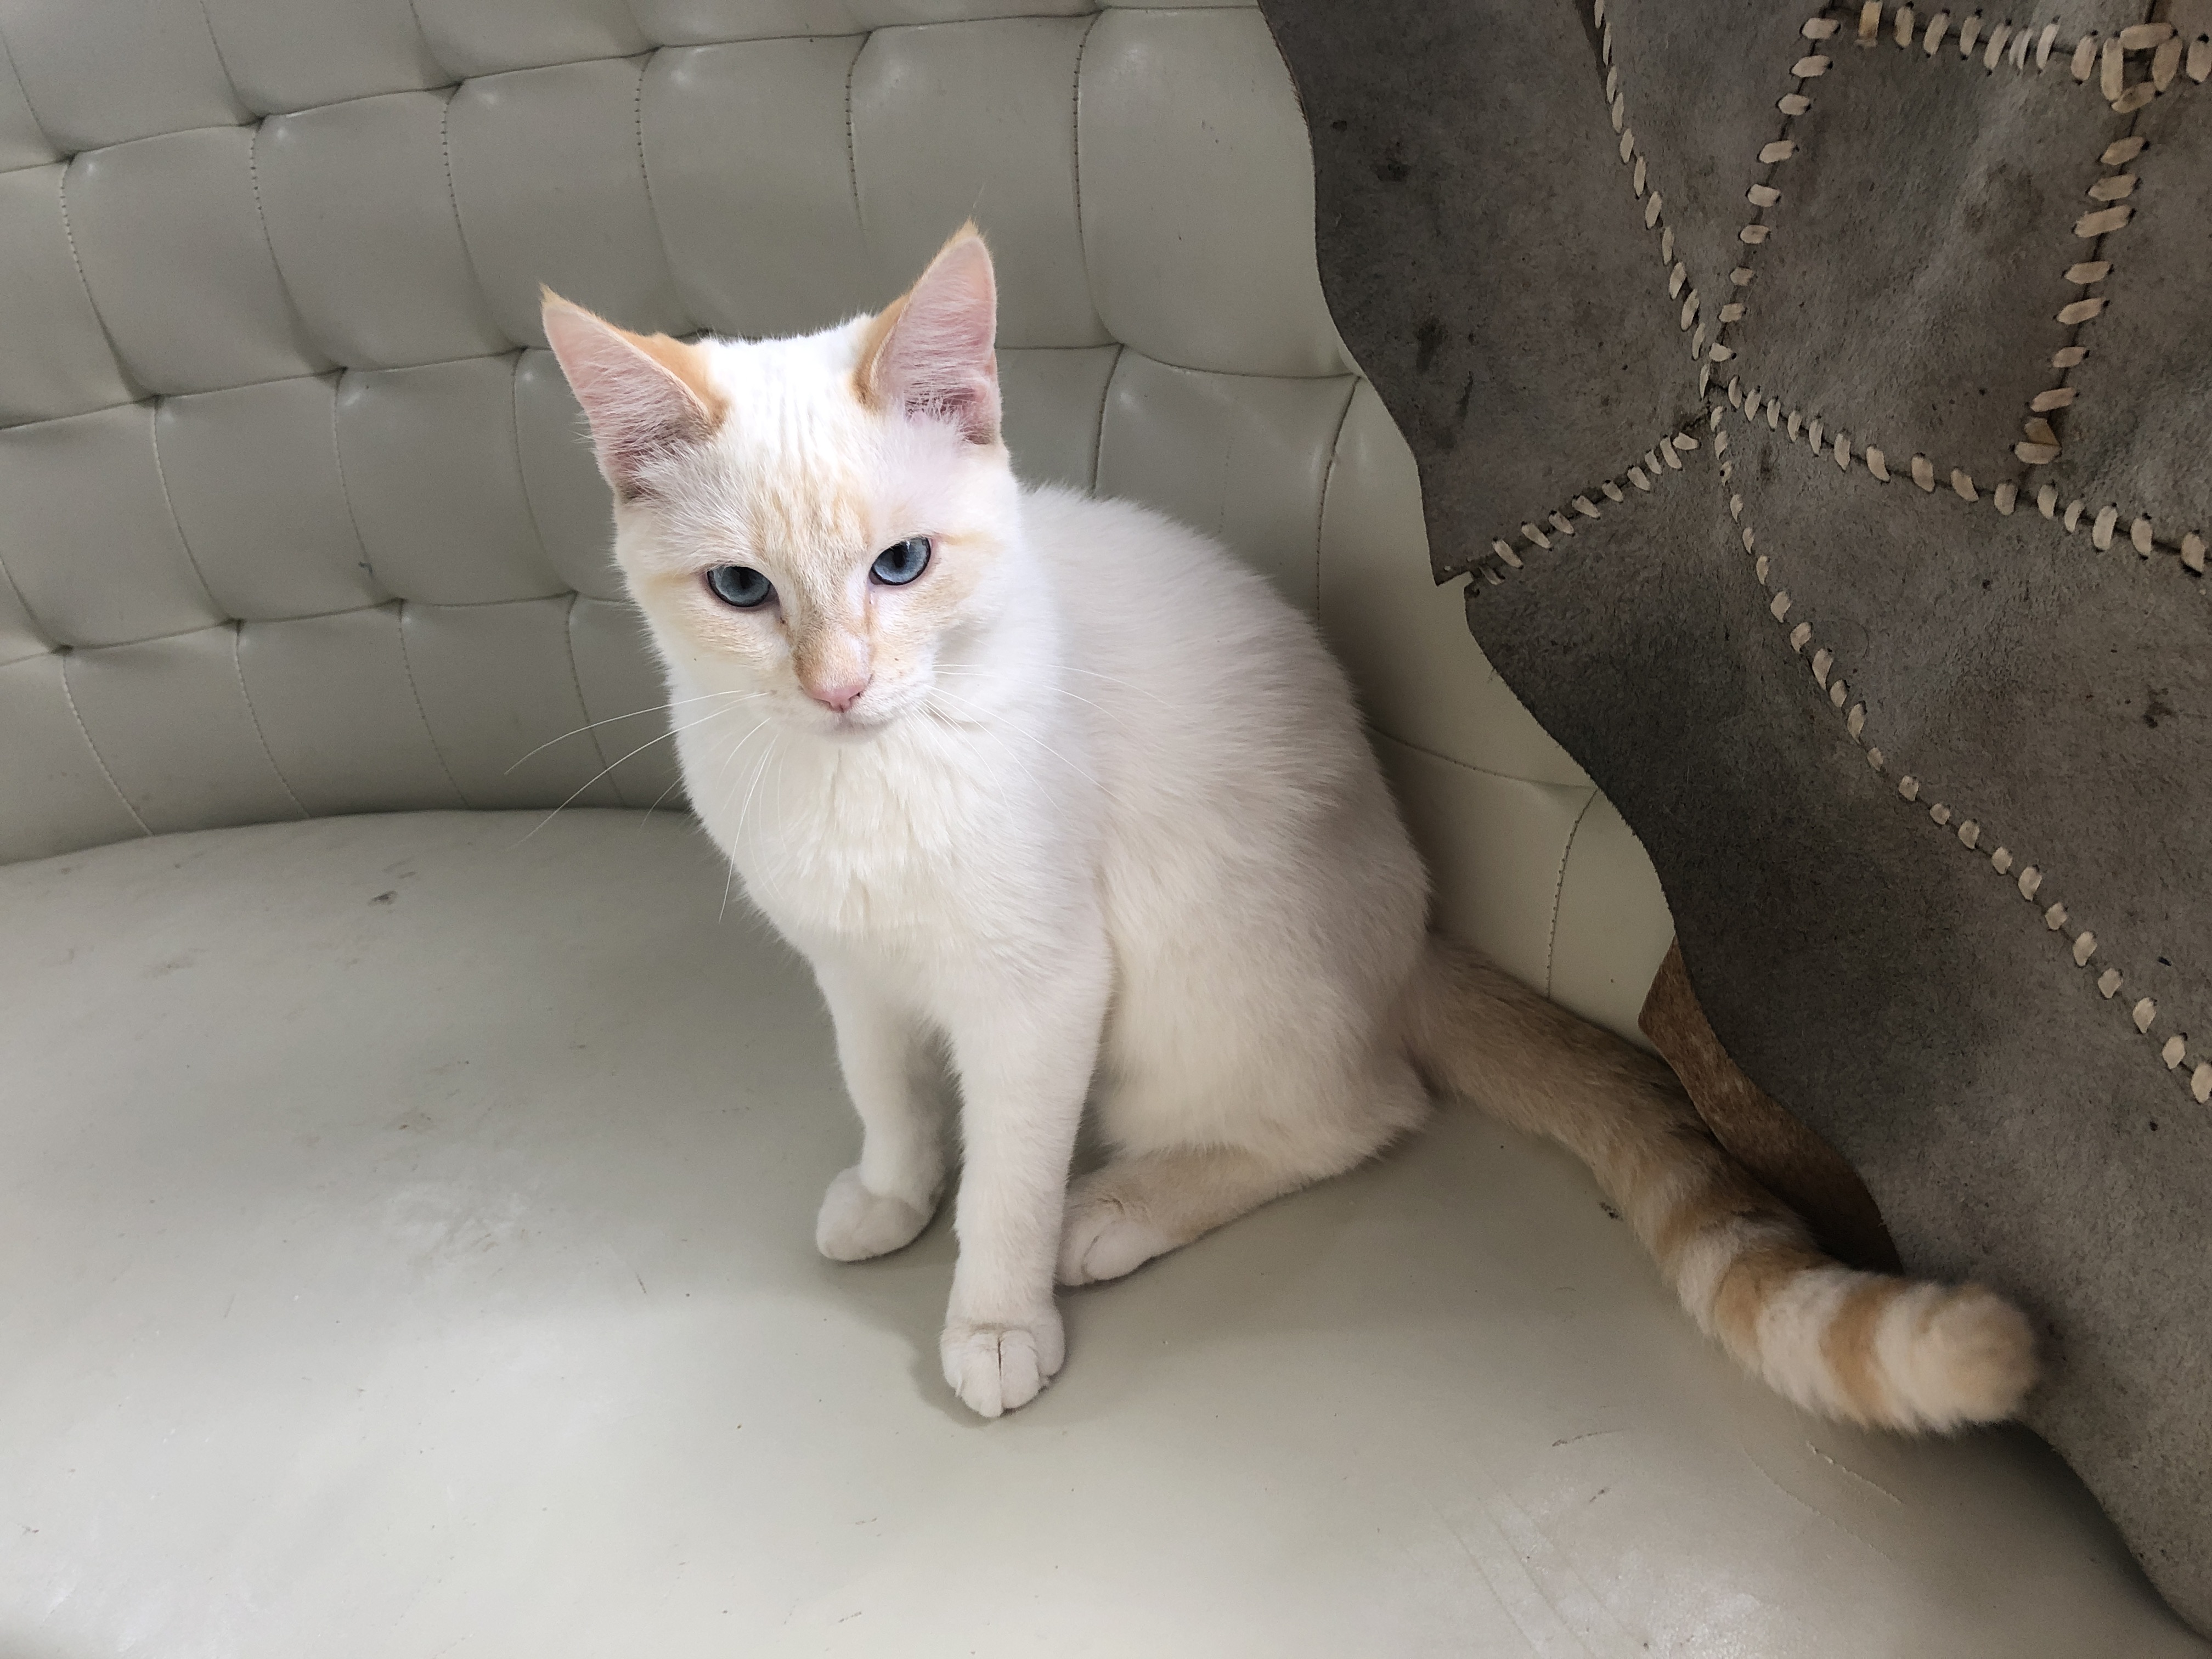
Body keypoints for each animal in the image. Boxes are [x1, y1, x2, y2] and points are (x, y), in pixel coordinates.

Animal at [542, 225, 2036, 1428]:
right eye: (741, 591)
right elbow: (886, 1094)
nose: (840, 687)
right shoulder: (850, 967)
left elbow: (1006, 1187)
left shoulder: (1040, 994)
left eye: (900, 566)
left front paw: (995, 1318)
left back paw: (1115, 1213)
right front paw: (897, 1193)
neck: (864, 783)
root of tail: (1414, 933)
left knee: (1354, 1114)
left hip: (1182, 987)